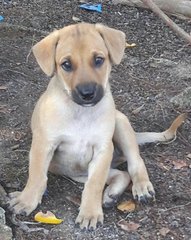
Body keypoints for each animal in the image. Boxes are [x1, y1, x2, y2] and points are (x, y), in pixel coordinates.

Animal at [8, 23, 185, 231]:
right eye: (66, 64)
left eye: (99, 60)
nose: (87, 93)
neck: (80, 113)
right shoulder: (43, 145)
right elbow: (36, 176)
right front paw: (26, 200)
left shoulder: (102, 150)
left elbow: (94, 184)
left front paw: (90, 213)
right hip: (77, 173)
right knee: (121, 174)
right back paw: (111, 194)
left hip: (121, 125)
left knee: (134, 163)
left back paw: (141, 187)